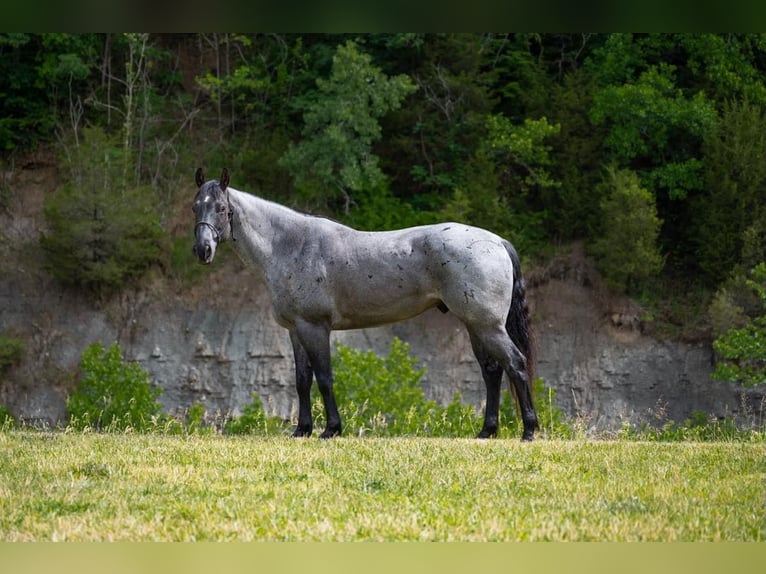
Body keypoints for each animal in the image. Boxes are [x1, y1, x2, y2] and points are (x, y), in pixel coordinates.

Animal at [192, 169, 540, 444]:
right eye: (195, 206)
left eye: (221, 208)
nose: (202, 250)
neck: (291, 246)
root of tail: (496, 242)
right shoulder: (295, 330)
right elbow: (302, 380)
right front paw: (302, 430)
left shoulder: (314, 327)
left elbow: (324, 377)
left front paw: (331, 429)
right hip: (475, 325)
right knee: (492, 371)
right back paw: (487, 431)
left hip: (486, 325)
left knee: (516, 364)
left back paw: (529, 430)